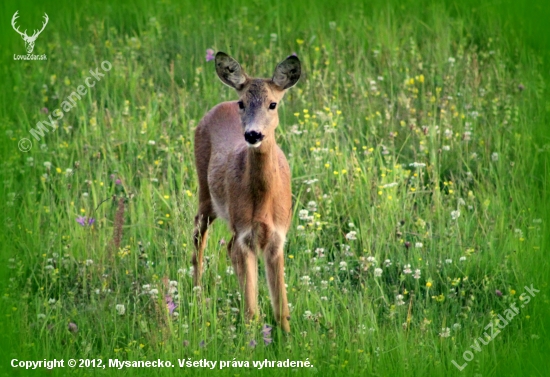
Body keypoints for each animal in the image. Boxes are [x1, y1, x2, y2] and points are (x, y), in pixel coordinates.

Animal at [192, 51, 300, 330]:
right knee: (198, 236)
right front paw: (252, 336)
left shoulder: (277, 236)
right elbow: (253, 311)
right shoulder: (245, 234)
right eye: (243, 103)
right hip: (206, 194)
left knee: (227, 247)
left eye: (273, 104)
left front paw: (287, 336)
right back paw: (196, 294)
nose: (253, 134)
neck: (263, 200)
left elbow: (282, 309)